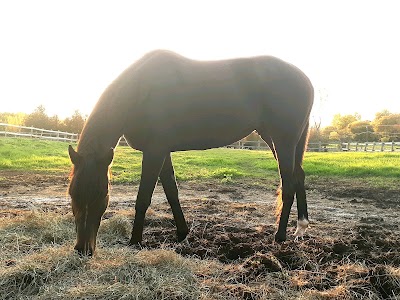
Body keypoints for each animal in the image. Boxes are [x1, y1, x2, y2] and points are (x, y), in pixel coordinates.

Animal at [68, 49, 312, 255]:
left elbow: (143, 198)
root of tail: (306, 81)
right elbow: (171, 192)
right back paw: (300, 228)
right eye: (71, 194)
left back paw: (280, 236)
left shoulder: (154, 151)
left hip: (283, 140)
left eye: (103, 193)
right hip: (278, 139)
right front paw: (182, 233)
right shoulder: (161, 151)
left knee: (288, 183)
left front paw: (135, 241)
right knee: (298, 176)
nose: (83, 249)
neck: (140, 91)